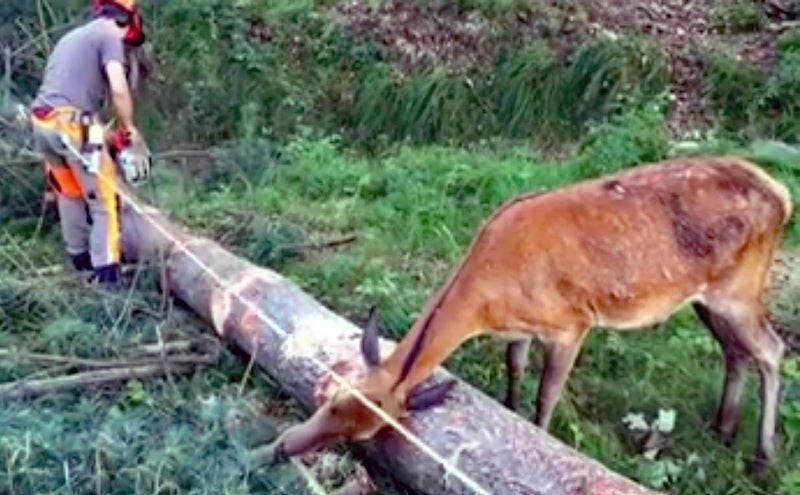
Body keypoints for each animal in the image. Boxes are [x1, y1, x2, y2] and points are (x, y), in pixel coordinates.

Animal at [266, 157, 792, 474]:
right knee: (735, 351)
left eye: (369, 431)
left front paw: (540, 442)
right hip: (707, 297)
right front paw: (511, 412)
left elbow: (546, 398)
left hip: (741, 288)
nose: (286, 444)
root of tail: (782, 194)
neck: (490, 295)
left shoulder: (571, 325)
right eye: (334, 400)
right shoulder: (516, 330)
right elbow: (515, 375)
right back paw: (723, 430)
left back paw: (763, 457)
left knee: (772, 349)